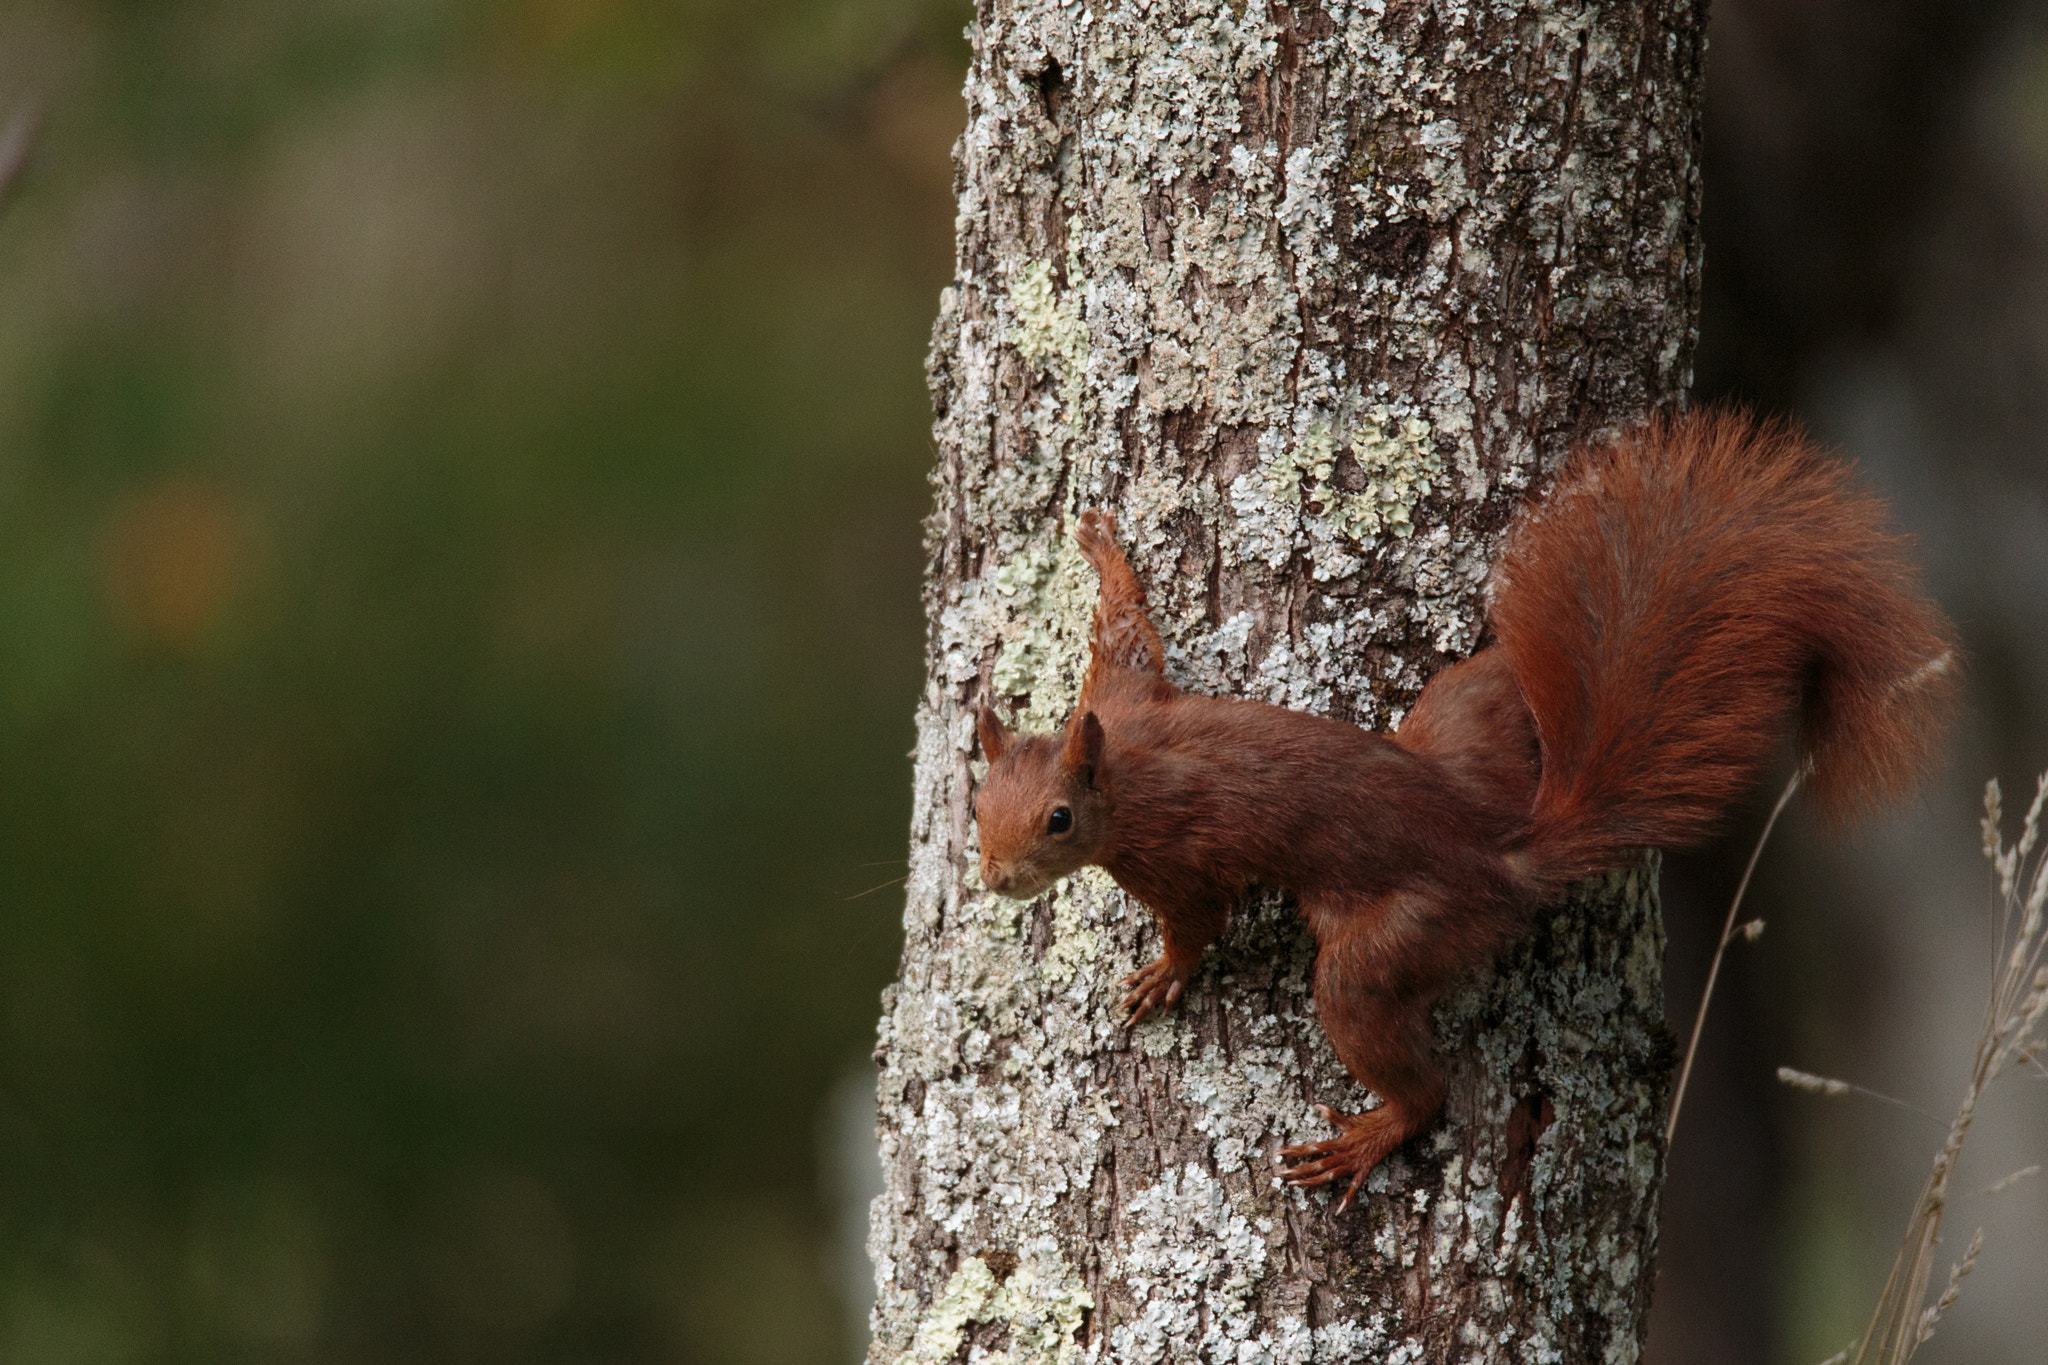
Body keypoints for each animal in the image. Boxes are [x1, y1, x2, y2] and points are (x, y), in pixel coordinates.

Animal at [970, 409, 1958, 1210]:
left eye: (1058, 820)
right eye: (974, 803)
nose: (995, 878)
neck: (1124, 767)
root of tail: (1493, 855)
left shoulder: (1169, 852)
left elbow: (1197, 921)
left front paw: (1164, 974)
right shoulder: (1122, 693)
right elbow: (1128, 629)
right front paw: (1102, 548)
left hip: (1397, 939)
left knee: (1408, 1062)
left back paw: (1368, 1135)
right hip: (1457, 723)